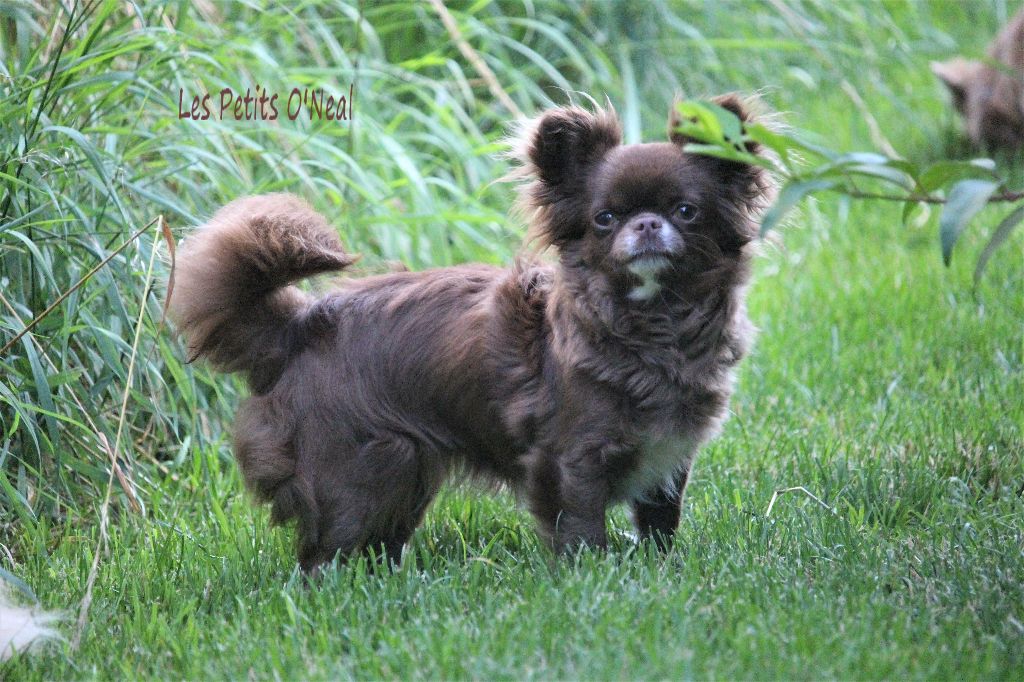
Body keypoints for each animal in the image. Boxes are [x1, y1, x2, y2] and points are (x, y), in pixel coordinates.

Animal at [168, 95, 773, 573]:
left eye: (686, 211)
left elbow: (661, 522)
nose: (646, 223)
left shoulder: (668, 459)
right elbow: (581, 529)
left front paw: (660, 570)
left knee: (376, 545)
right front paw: (592, 578)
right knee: (322, 556)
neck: (652, 328)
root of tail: (299, 326)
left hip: (407, 470)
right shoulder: (573, 460)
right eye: (605, 219)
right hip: (362, 469)